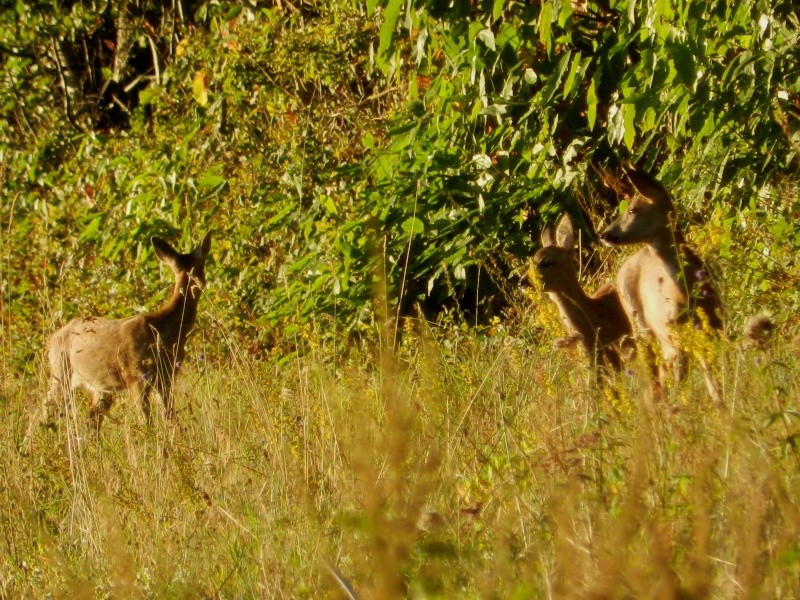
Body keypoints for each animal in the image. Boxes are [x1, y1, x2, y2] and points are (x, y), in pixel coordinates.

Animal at [45, 231, 211, 432]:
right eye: (203, 264)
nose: (201, 283)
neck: (164, 330)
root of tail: (52, 338)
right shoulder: (135, 376)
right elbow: (145, 420)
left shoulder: (166, 377)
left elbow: (170, 416)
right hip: (60, 372)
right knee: (45, 409)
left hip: (102, 388)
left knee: (92, 420)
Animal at [600, 165, 724, 404]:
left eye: (633, 210)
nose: (605, 234)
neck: (687, 295)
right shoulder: (677, 334)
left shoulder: (715, 328)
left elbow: (714, 383)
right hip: (642, 328)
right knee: (655, 378)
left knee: (663, 375)